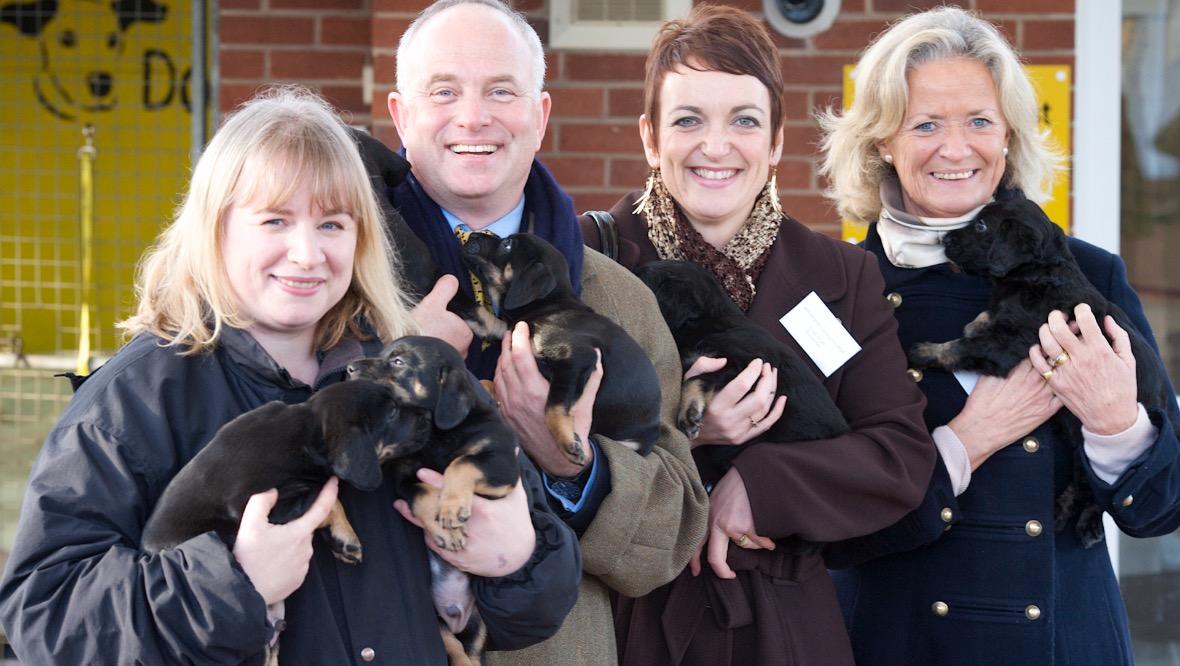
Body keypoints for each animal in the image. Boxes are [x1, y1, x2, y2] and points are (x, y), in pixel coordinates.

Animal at [460, 231, 665, 465]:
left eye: (507, 245)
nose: (472, 236)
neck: (546, 306)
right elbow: (487, 381)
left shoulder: (576, 360)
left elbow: (553, 406)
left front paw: (566, 441)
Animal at [906, 199, 1175, 552]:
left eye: (981, 226)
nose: (942, 240)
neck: (1037, 276)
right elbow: (984, 321)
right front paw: (979, 321)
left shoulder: (1011, 344)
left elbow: (960, 347)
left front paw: (924, 352)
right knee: (1086, 485)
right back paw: (1061, 515)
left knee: (1098, 490)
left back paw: (1083, 525)